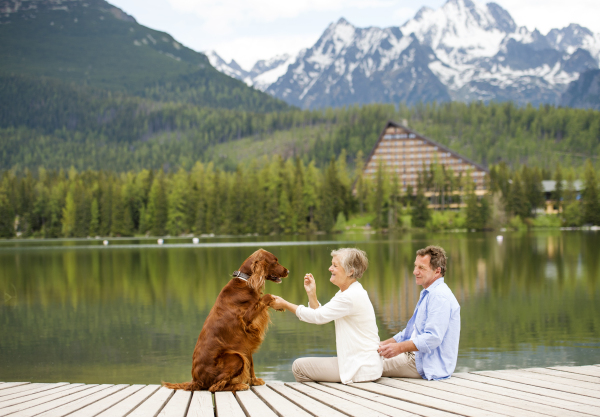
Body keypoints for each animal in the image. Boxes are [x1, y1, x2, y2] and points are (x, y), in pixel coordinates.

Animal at [162, 249, 288, 392]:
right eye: (275, 262)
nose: (288, 271)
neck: (246, 281)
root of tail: (196, 381)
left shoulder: (245, 343)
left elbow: (251, 363)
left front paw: (254, 381)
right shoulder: (246, 320)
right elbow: (267, 296)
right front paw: (277, 302)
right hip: (235, 357)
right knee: (215, 386)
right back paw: (239, 385)